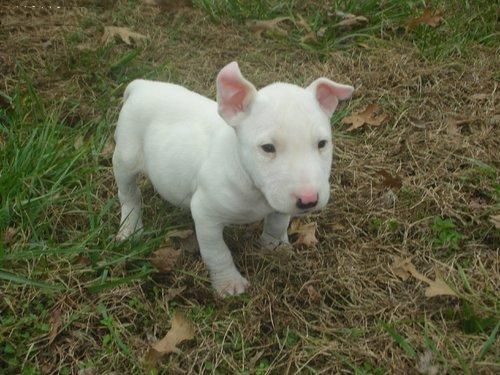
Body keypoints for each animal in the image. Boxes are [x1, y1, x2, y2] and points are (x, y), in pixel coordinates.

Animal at [114, 61, 356, 296]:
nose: (308, 201)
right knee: (128, 194)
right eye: (267, 148)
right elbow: (217, 252)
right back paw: (130, 230)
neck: (253, 187)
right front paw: (229, 284)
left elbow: (278, 222)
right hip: (125, 155)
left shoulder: (278, 201)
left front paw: (276, 247)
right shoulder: (205, 213)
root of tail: (141, 86)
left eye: (322, 143)